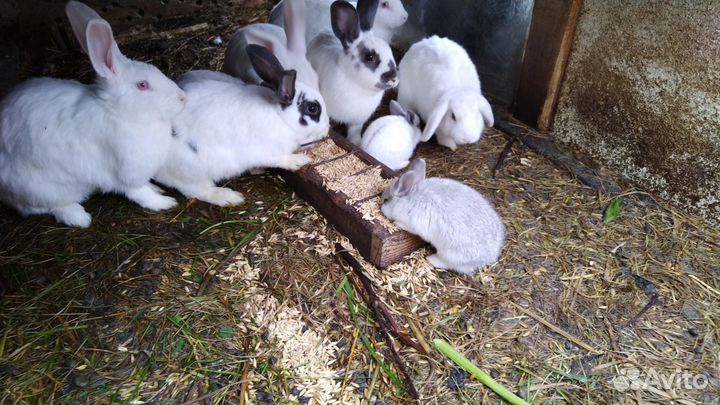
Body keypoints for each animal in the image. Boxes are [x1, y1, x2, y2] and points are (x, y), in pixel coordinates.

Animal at [0, 1, 186, 228]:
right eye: (142, 85)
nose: (182, 98)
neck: (118, 112)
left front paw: (157, 189)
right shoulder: (125, 172)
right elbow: (139, 192)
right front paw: (164, 202)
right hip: (41, 189)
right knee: (49, 206)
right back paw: (79, 218)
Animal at [154, 44, 329, 206]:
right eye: (312, 108)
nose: (327, 129)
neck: (280, 117)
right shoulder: (265, 151)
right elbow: (281, 159)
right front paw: (300, 160)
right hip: (192, 171)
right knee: (195, 190)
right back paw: (229, 197)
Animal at [307, 0, 399, 144]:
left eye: (390, 51)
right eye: (370, 57)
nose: (394, 78)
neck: (358, 87)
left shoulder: (358, 120)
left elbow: (354, 131)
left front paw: (356, 142)